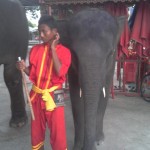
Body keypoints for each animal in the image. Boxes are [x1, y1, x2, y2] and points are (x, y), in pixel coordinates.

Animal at [58, 8, 125, 150]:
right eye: (73, 53)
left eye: (111, 53)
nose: (89, 146)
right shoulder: (72, 68)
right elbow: (76, 99)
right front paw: (77, 146)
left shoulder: (111, 65)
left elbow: (104, 96)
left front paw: (99, 140)